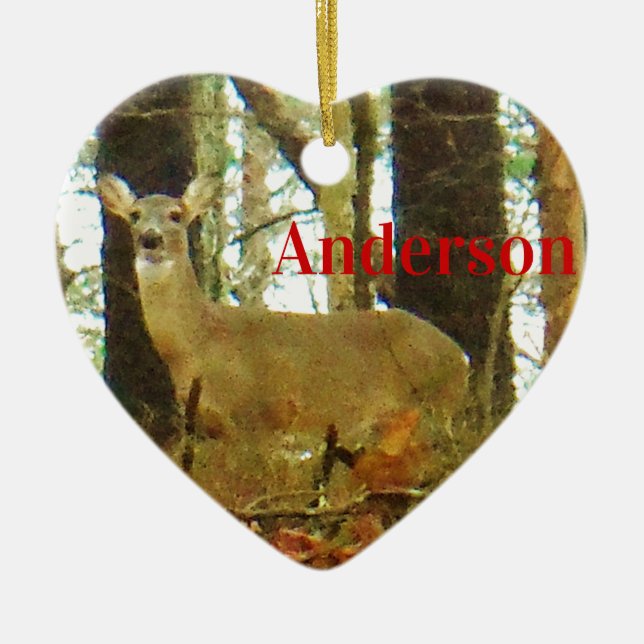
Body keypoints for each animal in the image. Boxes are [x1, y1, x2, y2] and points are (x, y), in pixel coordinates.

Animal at [97, 174, 470, 510]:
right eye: (135, 214)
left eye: (176, 214)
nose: (151, 238)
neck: (198, 343)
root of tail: (461, 357)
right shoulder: (212, 426)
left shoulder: (255, 413)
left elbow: (254, 484)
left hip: (435, 404)